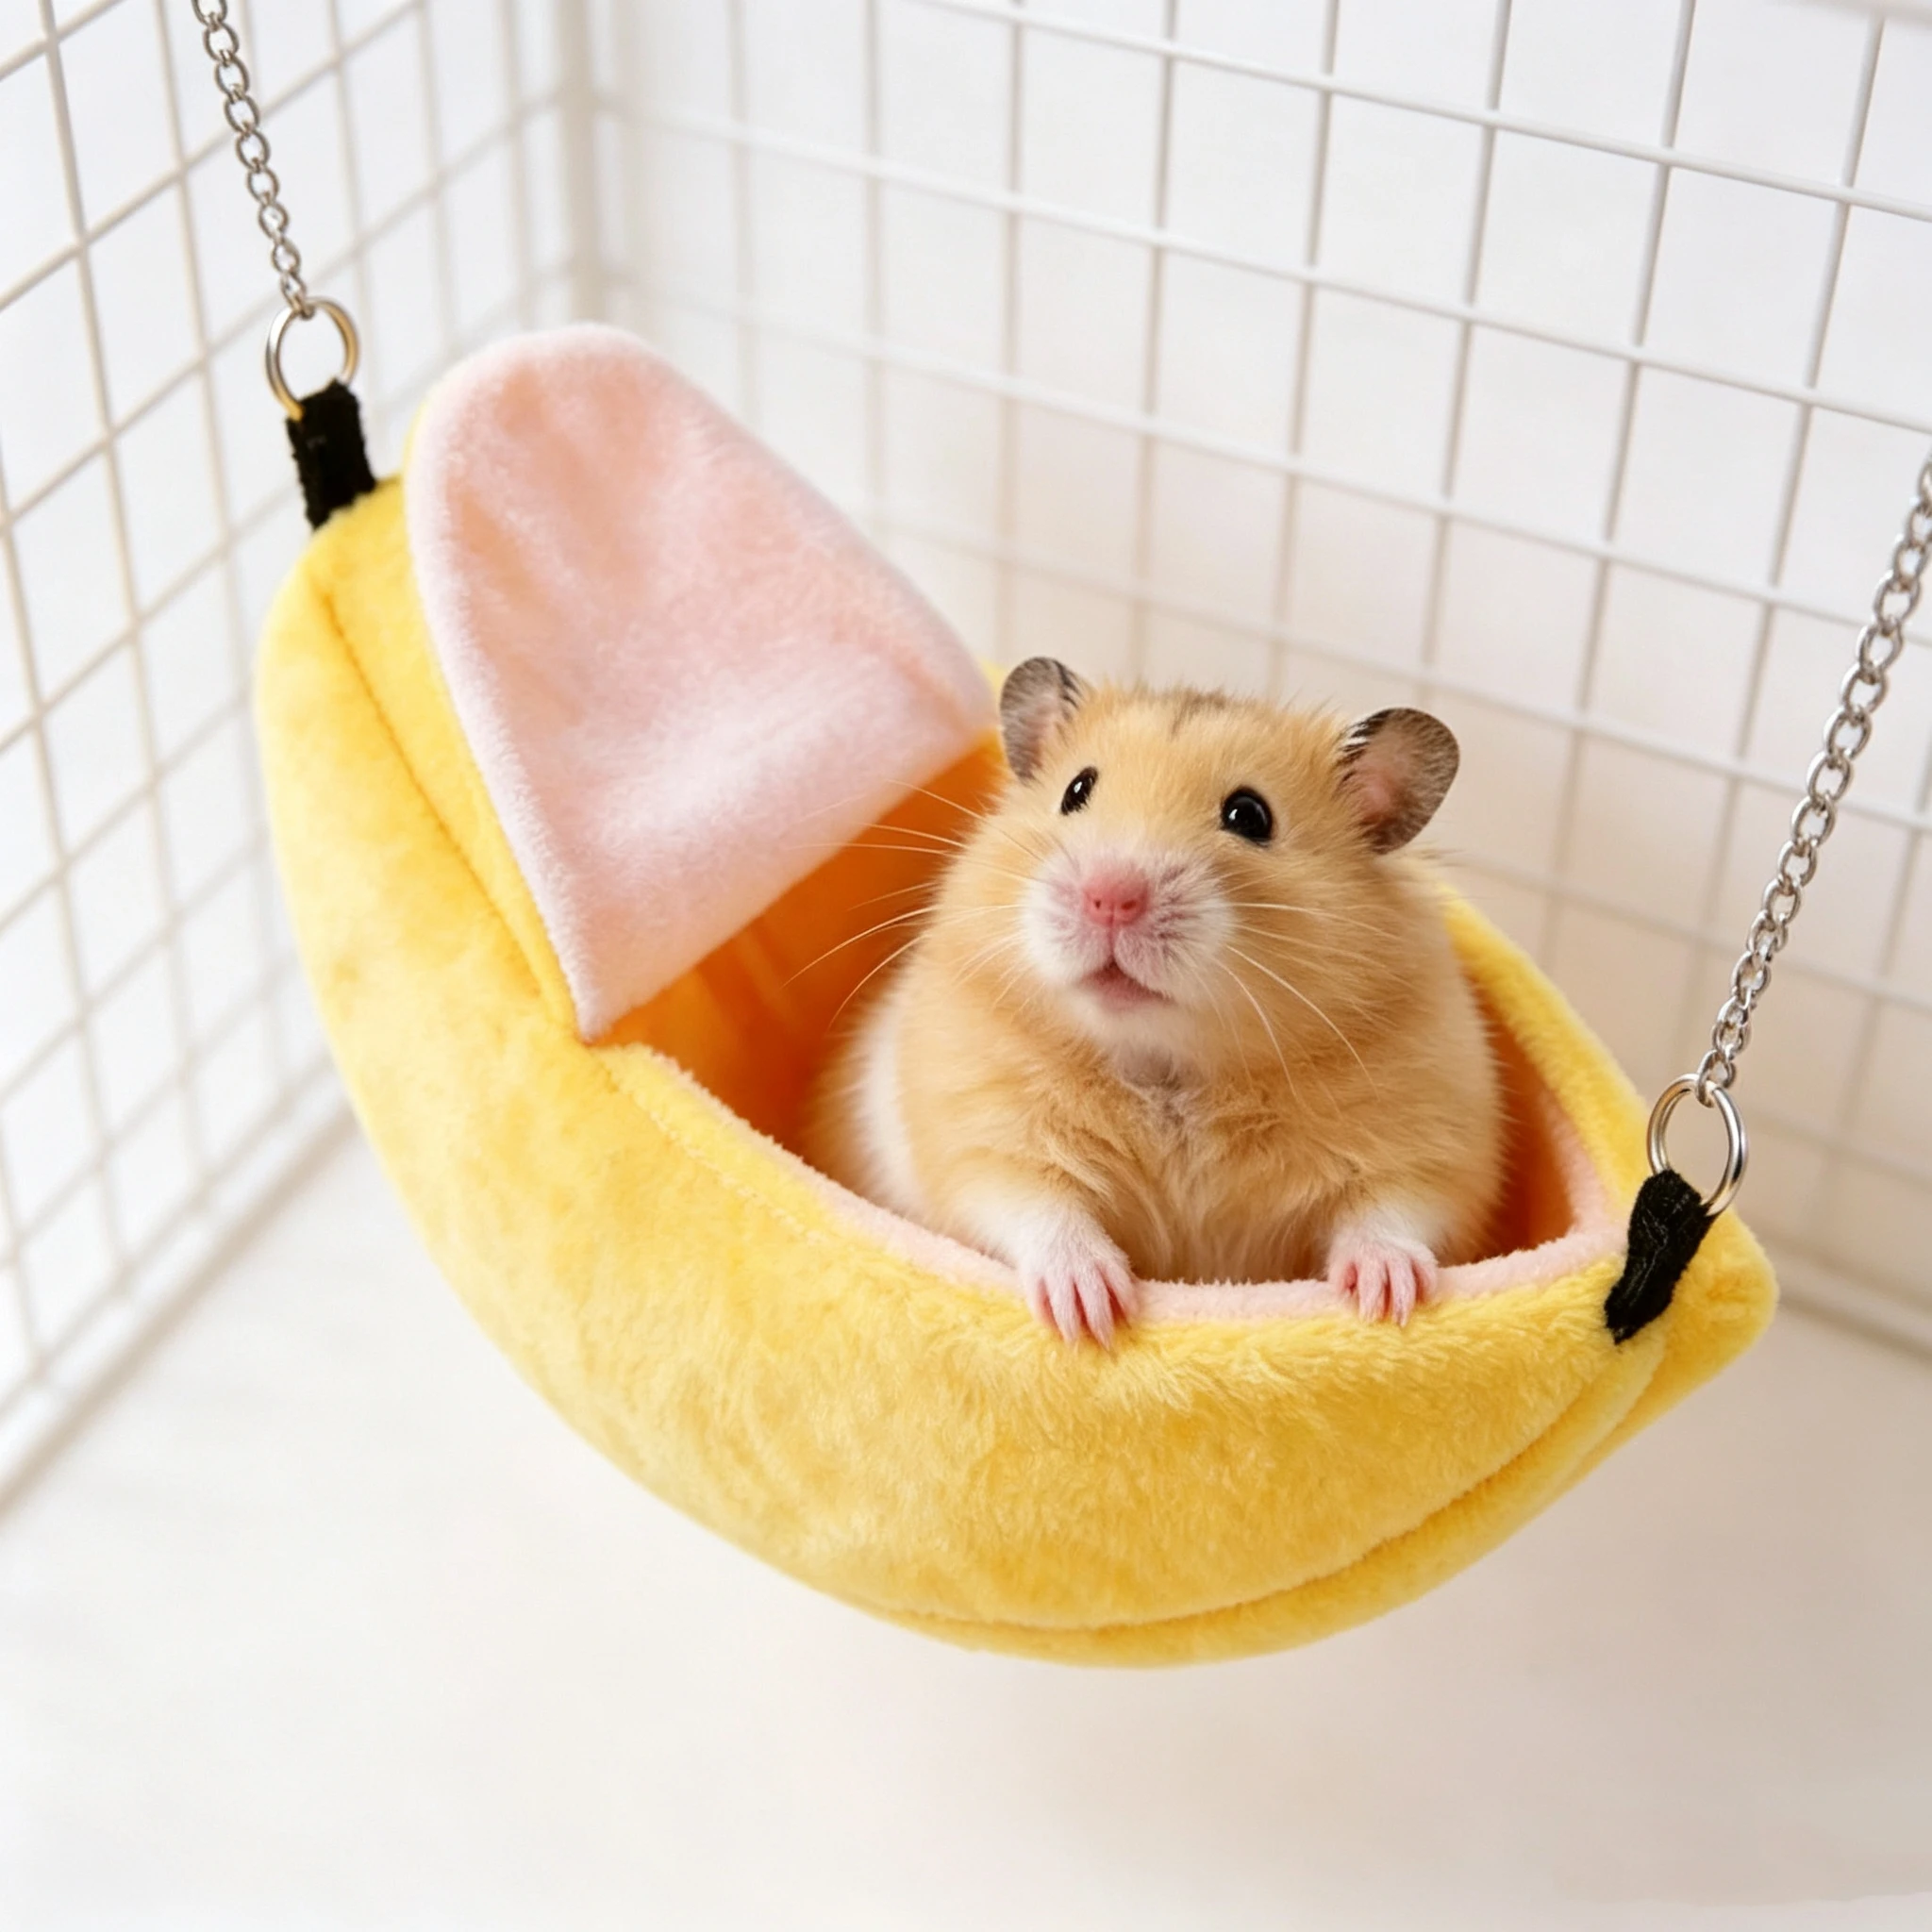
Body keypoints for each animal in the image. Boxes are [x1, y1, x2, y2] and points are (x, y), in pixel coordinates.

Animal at [806, 659, 1504, 1346]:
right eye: (1076, 790)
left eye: (1250, 816)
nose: (1109, 897)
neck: (1167, 1065)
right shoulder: (981, 1134)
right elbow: (1035, 1205)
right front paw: (1092, 1315)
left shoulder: (1431, 1141)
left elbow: (1393, 1210)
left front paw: (1389, 1302)